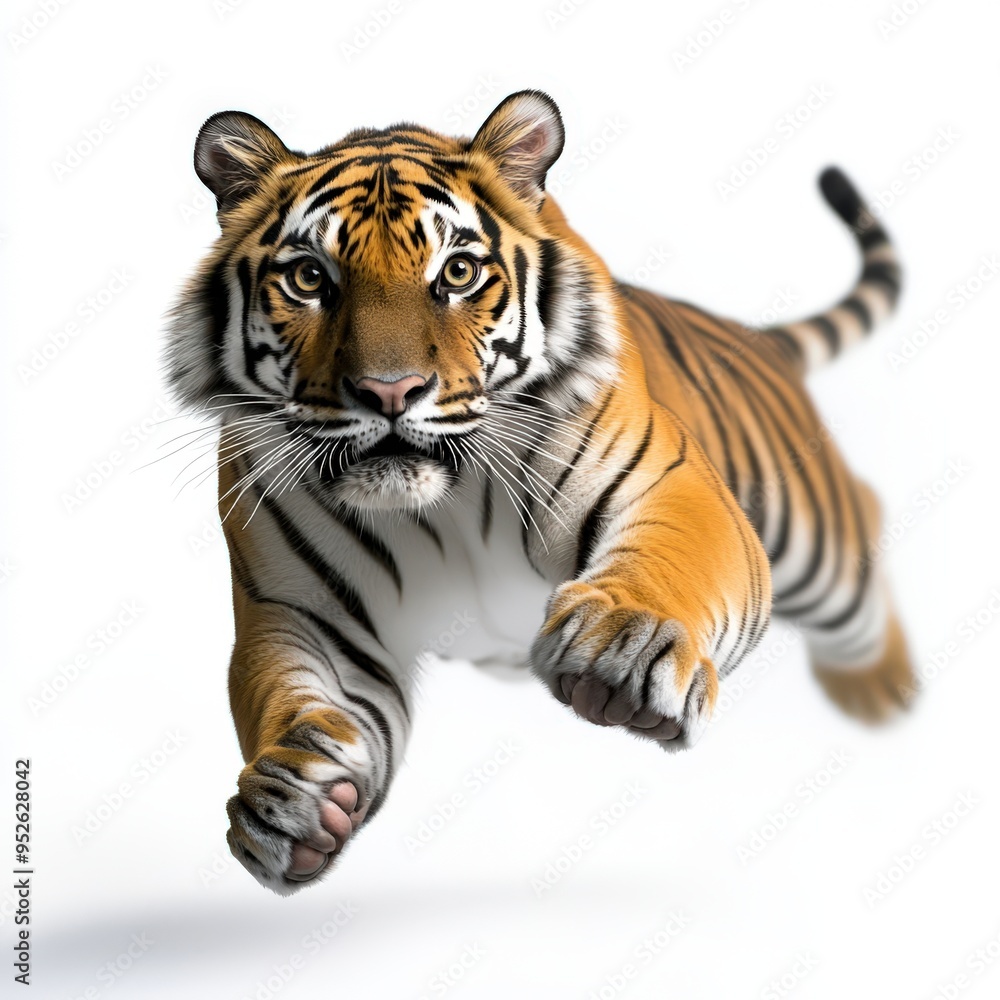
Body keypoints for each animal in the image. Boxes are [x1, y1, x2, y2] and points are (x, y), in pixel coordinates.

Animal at [166, 90, 915, 895]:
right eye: (309, 279)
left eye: (459, 272)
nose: (390, 392)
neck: (443, 504)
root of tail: (754, 338)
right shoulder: (304, 612)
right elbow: (296, 696)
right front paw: (292, 799)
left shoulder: (673, 486)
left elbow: (668, 563)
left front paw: (627, 644)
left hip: (815, 540)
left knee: (865, 529)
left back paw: (881, 694)